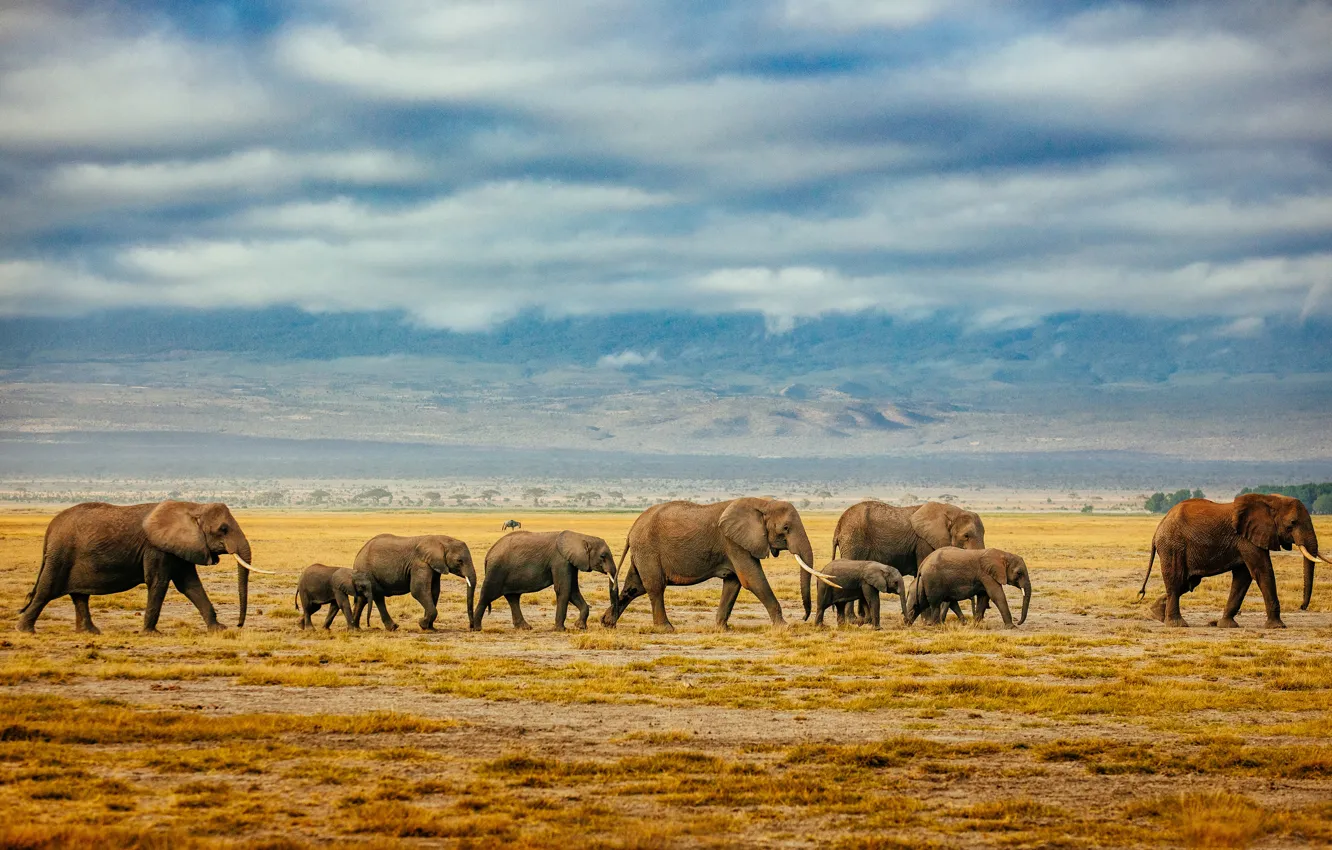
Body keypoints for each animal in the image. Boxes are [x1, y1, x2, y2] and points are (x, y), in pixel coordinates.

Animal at [17, 501, 269, 634]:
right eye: (223, 529)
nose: (239, 624)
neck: (193, 507)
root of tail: (50, 527)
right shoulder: (156, 548)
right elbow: (159, 582)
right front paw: (151, 633)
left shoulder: (180, 547)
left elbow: (191, 585)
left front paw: (219, 629)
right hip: (60, 555)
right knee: (46, 592)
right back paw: (25, 630)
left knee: (80, 596)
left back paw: (90, 633)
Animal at [472, 530, 618, 631]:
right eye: (603, 556)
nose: (608, 623)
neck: (581, 536)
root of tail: (488, 554)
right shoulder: (560, 561)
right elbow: (563, 589)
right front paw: (560, 630)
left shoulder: (571, 563)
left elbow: (573, 591)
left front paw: (580, 627)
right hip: (496, 570)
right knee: (486, 595)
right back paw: (477, 628)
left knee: (513, 598)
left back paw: (525, 628)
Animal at [599, 497, 836, 632]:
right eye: (786, 528)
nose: (804, 618)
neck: (763, 503)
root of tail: (632, 530)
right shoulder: (733, 542)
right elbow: (752, 579)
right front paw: (785, 627)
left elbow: (733, 583)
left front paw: (723, 628)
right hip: (648, 549)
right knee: (655, 587)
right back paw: (666, 629)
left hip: (643, 552)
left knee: (634, 587)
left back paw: (607, 623)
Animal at [827, 501, 985, 621]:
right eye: (966, 536)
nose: (974, 618)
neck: (951, 512)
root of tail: (838, 527)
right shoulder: (923, 542)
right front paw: (927, 621)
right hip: (854, 540)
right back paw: (853, 620)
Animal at [1137, 494, 1330, 629]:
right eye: (1292, 523)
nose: (1302, 607)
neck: (1269, 499)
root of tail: (1158, 529)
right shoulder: (1246, 540)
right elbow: (1262, 571)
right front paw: (1277, 627)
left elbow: (1243, 577)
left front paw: (1227, 625)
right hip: (1173, 546)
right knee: (1176, 581)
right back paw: (1177, 624)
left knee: (1187, 583)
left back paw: (1156, 614)